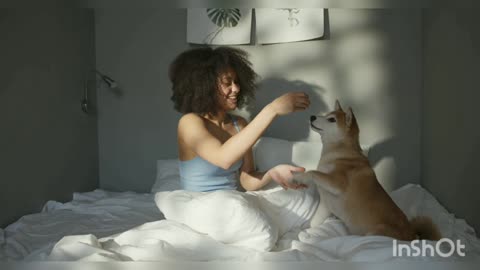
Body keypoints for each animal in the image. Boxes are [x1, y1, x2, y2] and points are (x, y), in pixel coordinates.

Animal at [290, 100, 440, 240]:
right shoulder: (325, 205)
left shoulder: (338, 184)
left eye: (331, 119)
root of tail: (413, 236)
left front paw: (299, 176)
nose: (312, 116)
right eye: (327, 114)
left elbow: (313, 172)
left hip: (373, 234)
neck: (339, 153)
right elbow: (313, 223)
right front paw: (303, 234)